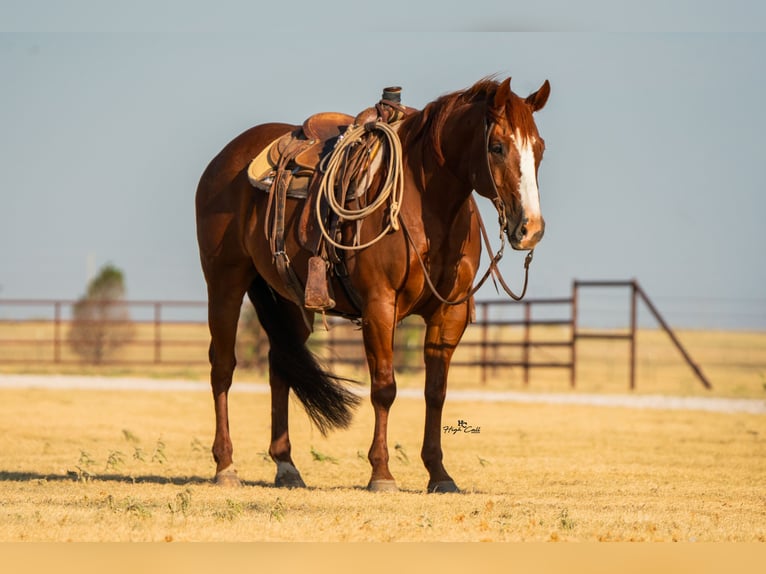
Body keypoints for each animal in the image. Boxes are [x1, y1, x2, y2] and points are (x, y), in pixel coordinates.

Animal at [195, 76, 550, 492]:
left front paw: (439, 474)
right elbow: (384, 387)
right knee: (222, 366)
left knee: (281, 364)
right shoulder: (380, 305)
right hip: (225, 282)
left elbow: (436, 391)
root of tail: (225, 159)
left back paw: (286, 466)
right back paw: (225, 465)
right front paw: (381, 473)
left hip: (291, 301)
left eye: (539, 148)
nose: (530, 229)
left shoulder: (450, 312)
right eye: (496, 147)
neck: (426, 204)